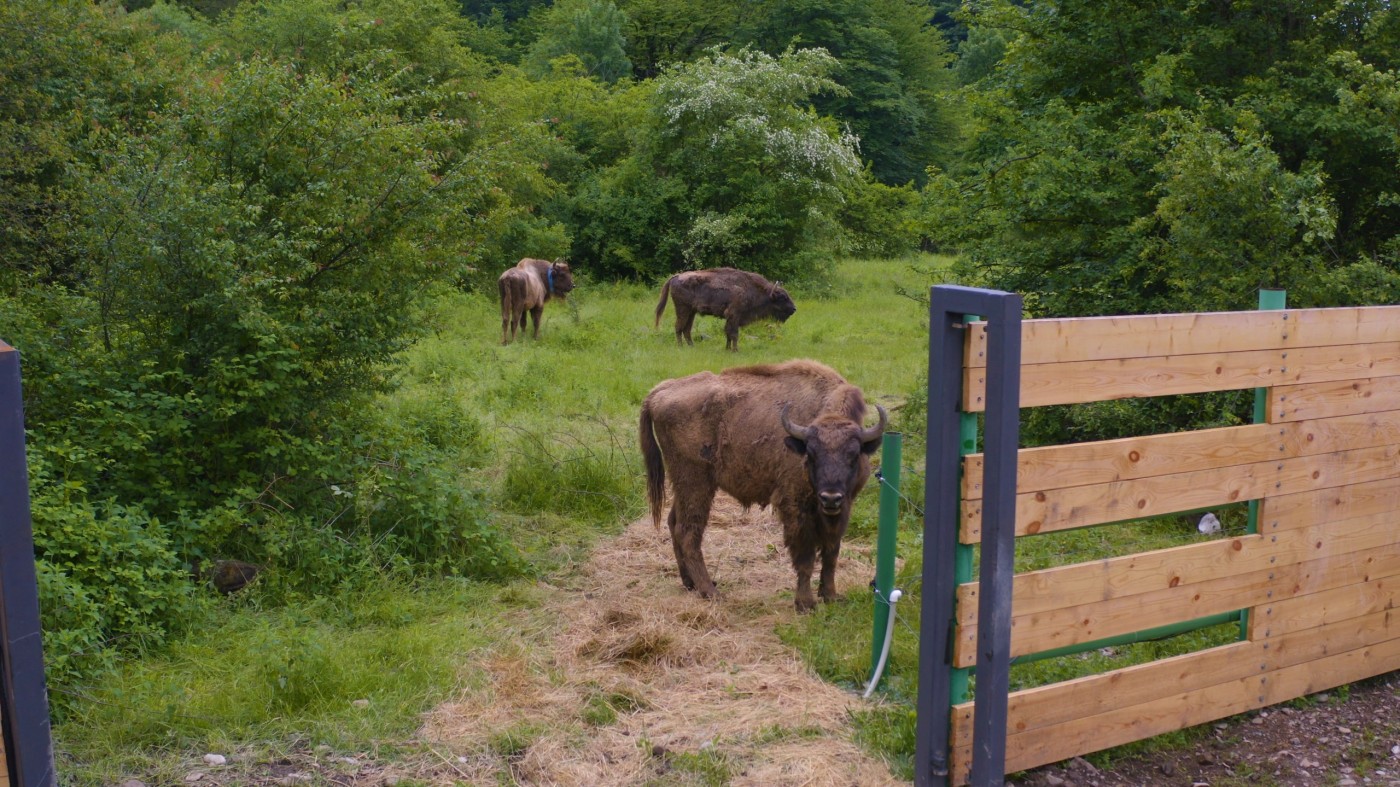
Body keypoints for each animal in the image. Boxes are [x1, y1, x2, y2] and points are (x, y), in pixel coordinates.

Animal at [638, 358, 879, 610]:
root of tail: (658, 392)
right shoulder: (795, 504)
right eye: (811, 454)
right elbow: (805, 556)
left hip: (686, 486)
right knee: (688, 532)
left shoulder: (843, 507)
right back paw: (710, 591)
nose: (831, 497)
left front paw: (831, 596)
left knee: (674, 522)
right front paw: (805, 604)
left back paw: (691, 583)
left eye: (854, 454)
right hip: (696, 483)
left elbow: (832, 551)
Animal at [649, 266, 795, 348]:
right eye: (783, 297)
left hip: (691, 312)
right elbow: (734, 334)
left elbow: (728, 333)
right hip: (682, 309)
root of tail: (675, 277)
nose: (794, 309)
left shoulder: (730, 318)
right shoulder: (734, 315)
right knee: (679, 327)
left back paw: (691, 346)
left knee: (686, 329)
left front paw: (727, 349)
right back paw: (681, 347)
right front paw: (735, 350)